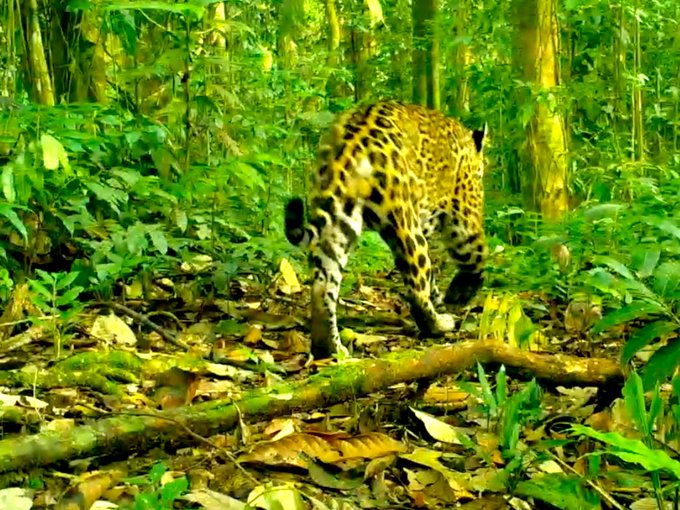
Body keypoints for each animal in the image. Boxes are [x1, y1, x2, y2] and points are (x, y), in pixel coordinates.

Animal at [285, 100, 487, 358]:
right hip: (406, 221)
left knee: (323, 289)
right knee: (417, 294)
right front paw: (458, 295)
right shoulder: (464, 214)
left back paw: (330, 349)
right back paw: (440, 324)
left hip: (339, 220)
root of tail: (353, 137)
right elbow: (475, 257)